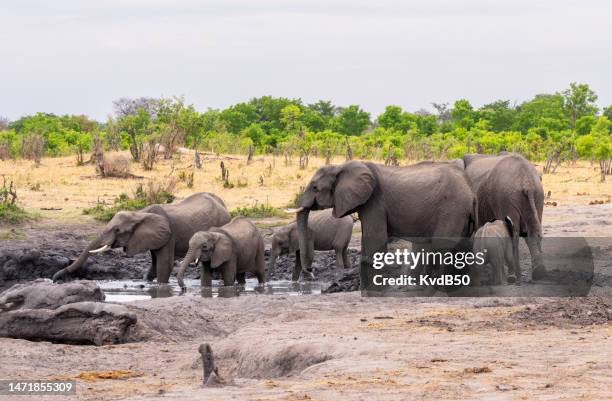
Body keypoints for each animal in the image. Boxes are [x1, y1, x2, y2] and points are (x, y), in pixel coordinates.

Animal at [50, 192, 230, 282]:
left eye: (117, 230)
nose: (55, 279)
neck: (139, 213)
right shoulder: (153, 237)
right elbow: (155, 264)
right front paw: (145, 282)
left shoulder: (169, 235)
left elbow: (165, 265)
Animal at [294, 160, 476, 290]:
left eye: (315, 187)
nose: (309, 272)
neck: (341, 166)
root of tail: (469, 187)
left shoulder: (375, 201)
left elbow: (375, 237)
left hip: (452, 208)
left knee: (443, 246)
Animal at [462, 152, 544, 282]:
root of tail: (526, 181)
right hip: (537, 196)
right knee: (534, 230)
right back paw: (539, 273)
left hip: (505, 197)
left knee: (514, 233)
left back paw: (514, 276)